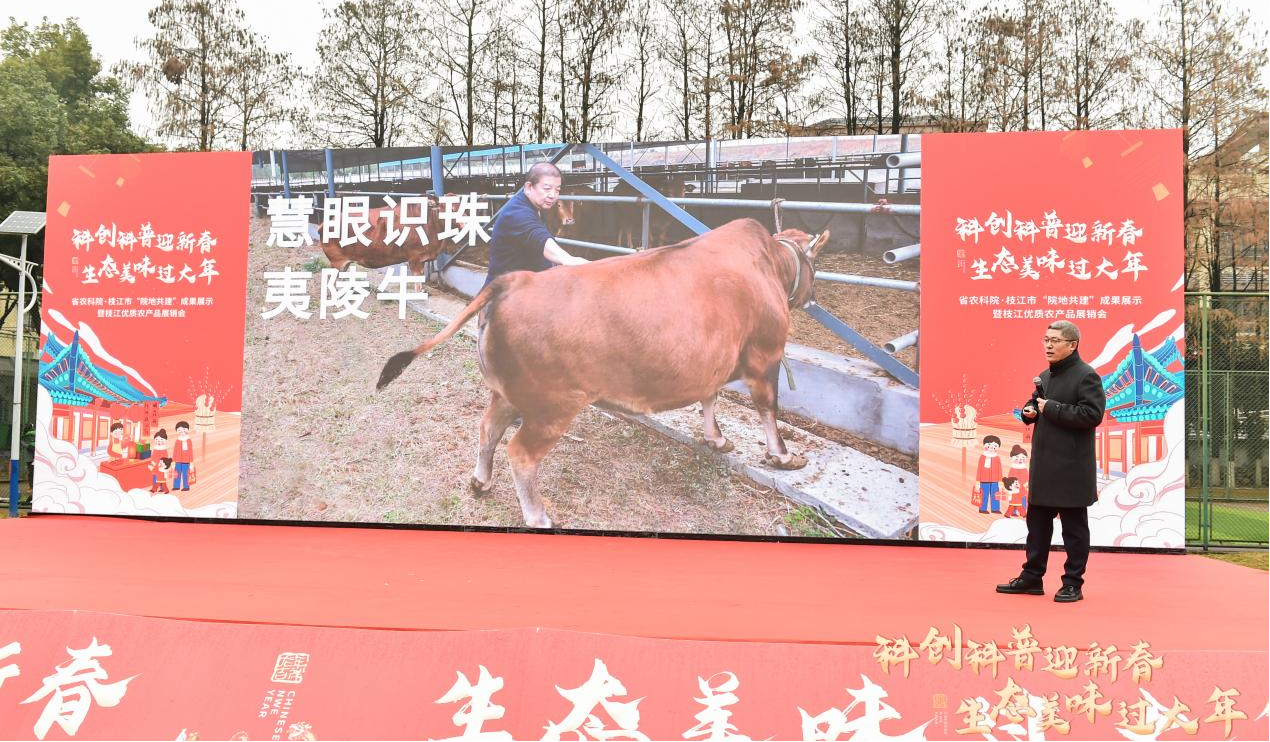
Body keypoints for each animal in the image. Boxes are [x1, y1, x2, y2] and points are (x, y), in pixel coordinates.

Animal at [373, 217, 833, 531]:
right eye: (815, 265)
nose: (812, 296)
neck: (769, 262)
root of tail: (513, 281)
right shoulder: (765, 354)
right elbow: (768, 409)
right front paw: (784, 456)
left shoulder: (713, 362)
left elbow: (710, 396)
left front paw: (716, 439)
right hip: (551, 406)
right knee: (520, 452)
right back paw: (538, 516)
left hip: (507, 393)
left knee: (488, 429)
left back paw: (480, 482)